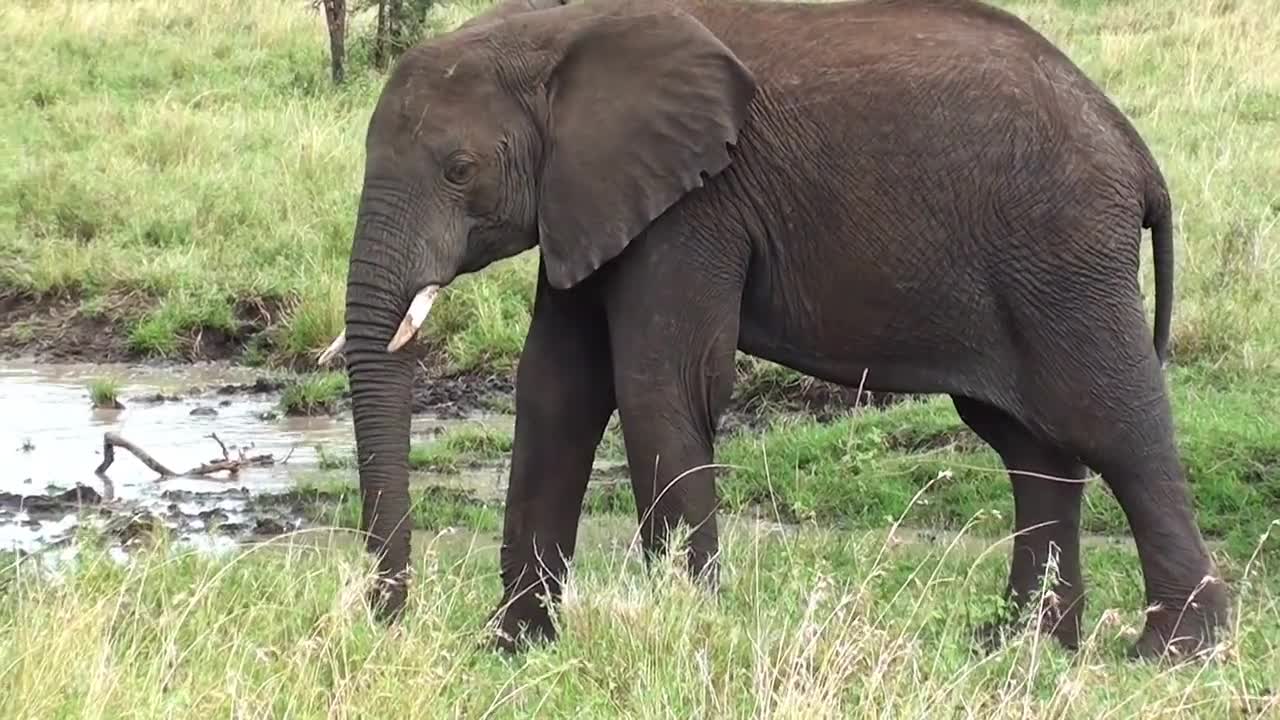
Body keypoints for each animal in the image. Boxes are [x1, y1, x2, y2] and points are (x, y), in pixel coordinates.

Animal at [320, 0, 1228, 661]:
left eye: (459, 171)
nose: (388, 620)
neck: (554, 31)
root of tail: (1137, 154)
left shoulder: (695, 204)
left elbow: (659, 386)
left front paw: (687, 633)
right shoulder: (590, 195)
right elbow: (555, 391)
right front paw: (512, 650)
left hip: (1065, 258)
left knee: (1113, 426)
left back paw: (1172, 653)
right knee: (1032, 448)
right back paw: (1017, 646)